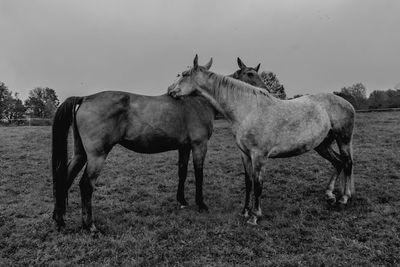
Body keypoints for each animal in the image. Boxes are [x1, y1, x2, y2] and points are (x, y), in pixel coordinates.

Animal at [53, 75, 217, 230]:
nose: (171, 90)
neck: (198, 103)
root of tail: (85, 98)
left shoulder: (184, 147)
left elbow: (182, 173)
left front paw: (182, 200)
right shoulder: (199, 145)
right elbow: (199, 174)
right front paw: (201, 204)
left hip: (80, 154)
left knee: (65, 179)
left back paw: (59, 220)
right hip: (96, 156)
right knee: (86, 185)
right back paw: (90, 225)